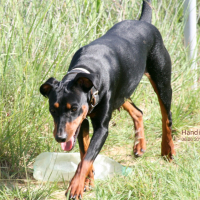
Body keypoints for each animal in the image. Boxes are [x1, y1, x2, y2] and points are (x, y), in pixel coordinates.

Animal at [39, 0, 175, 199]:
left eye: (74, 108)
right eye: (52, 110)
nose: (60, 137)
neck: (86, 69)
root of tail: (144, 22)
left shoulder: (101, 128)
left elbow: (86, 157)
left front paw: (76, 186)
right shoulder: (82, 123)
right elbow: (85, 152)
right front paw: (88, 181)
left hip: (161, 81)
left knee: (167, 117)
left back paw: (167, 150)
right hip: (122, 91)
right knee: (138, 111)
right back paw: (139, 145)